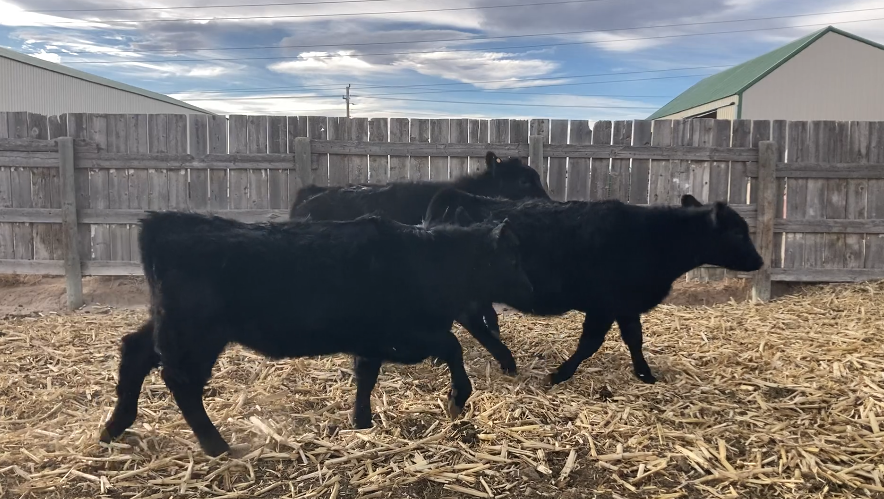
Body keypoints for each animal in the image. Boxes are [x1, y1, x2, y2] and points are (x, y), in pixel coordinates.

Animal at [99, 211, 533, 457]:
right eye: (513, 259)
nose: (533, 290)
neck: (430, 260)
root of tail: (164, 223)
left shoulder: (371, 340)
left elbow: (366, 377)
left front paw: (362, 423)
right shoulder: (402, 334)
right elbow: (453, 346)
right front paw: (457, 398)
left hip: (170, 324)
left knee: (136, 351)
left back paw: (113, 427)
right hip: (196, 333)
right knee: (182, 381)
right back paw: (217, 446)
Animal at [424, 189, 764, 385]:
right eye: (737, 232)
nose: (759, 261)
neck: (653, 236)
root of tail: (454, 197)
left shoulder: (625, 305)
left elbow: (634, 339)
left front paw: (645, 373)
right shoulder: (603, 305)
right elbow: (590, 343)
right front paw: (559, 375)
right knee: (469, 318)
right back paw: (505, 359)